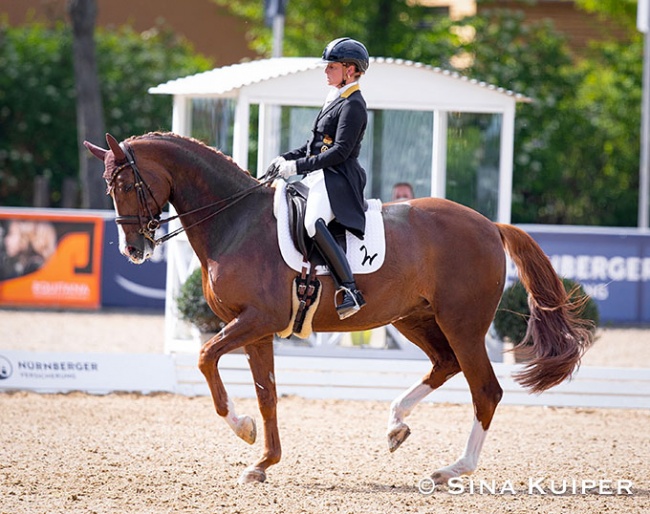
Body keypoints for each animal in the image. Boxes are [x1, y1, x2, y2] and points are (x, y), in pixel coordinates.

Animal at [85, 132, 592, 484]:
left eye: (126, 183)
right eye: (108, 187)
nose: (133, 249)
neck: (235, 222)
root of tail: (489, 225)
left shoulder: (255, 320)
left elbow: (205, 358)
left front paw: (243, 429)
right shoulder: (256, 329)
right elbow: (267, 394)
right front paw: (263, 462)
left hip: (462, 323)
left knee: (485, 389)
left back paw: (452, 469)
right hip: (414, 318)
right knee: (445, 365)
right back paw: (395, 426)